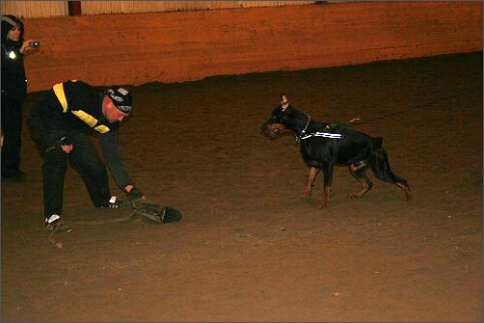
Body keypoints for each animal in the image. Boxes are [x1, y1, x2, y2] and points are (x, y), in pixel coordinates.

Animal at [260, 93, 412, 210]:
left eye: (274, 117)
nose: (261, 128)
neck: (308, 132)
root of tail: (377, 142)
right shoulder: (315, 165)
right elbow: (309, 180)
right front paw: (305, 195)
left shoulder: (327, 165)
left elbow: (326, 186)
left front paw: (325, 204)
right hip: (355, 168)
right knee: (369, 184)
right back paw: (356, 195)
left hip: (381, 170)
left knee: (403, 181)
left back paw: (409, 198)